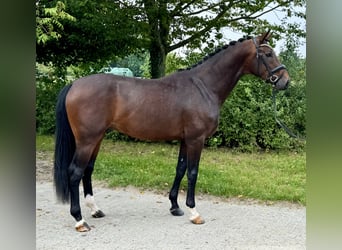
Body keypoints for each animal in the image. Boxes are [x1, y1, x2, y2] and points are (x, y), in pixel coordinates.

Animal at [53, 31, 288, 232]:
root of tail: (74, 84)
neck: (204, 86)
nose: (285, 81)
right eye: (268, 54)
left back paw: (95, 210)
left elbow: (180, 169)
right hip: (87, 140)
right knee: (75, 172)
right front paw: (194, 212)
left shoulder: (186, 139)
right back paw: (79, 220)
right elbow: (193, 172)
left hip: (97, 138)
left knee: (88, 170)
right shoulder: (196, 139)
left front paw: (175, 206)